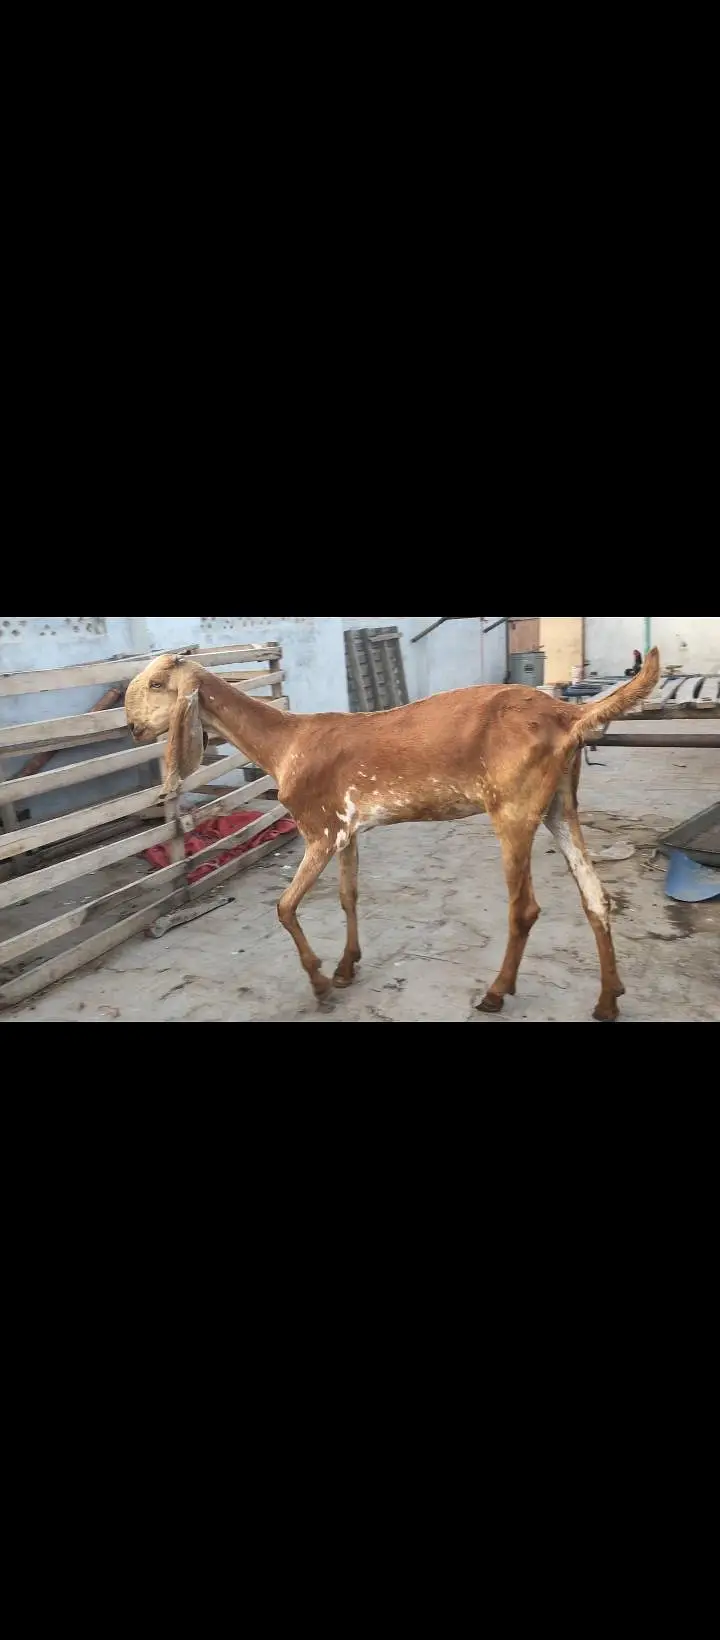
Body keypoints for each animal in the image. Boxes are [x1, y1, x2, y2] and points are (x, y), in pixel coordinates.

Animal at [125, 648, 661, 1020]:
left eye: (156, 682)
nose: (131, 727)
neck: (285, 743)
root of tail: (568, 716)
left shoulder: (318, 830)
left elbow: (284, 907)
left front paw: (320, 984)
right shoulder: (346, 831)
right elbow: (349, 895)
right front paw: (345, 968)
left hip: (513, 810)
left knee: (524, 908)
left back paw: (495, 993)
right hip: (559, 806)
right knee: (596, 898)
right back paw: (608, 1000)